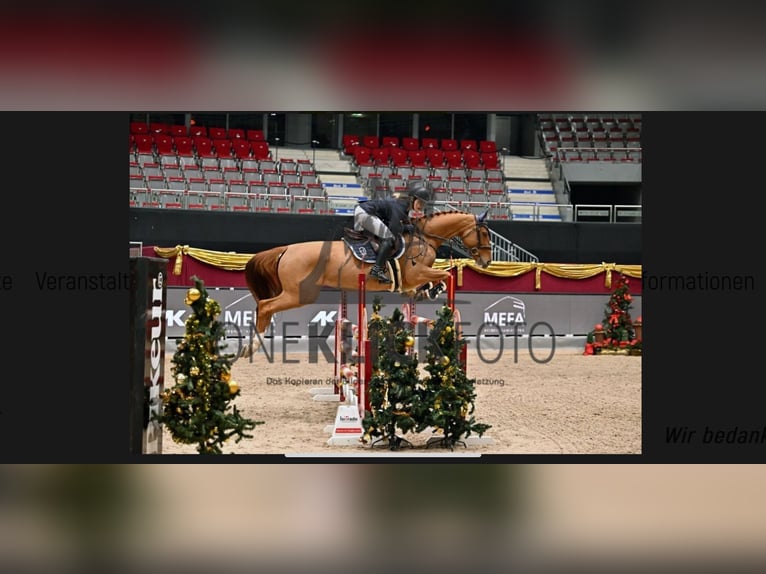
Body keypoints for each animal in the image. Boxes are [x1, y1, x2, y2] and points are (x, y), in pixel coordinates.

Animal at [240, 209, 492, 358]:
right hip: (299, 294)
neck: (425, 239)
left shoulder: (414, 279)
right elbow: (445, 275)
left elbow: (433, 281)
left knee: (263, 306)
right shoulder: (416, 272)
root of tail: (286, 250)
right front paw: (436, 289)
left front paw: (427, 292)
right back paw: (253, 345)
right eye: (483, 233)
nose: (487, 261)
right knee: (265, 306)